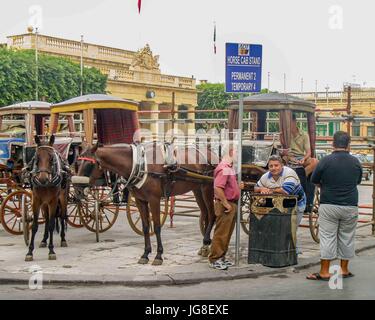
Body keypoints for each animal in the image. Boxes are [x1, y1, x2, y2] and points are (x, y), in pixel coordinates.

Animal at [74, 142, 219, 264]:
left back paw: (207, 240)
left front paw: (158, 255)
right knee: (205, 214)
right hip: (197, 189)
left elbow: (157, 227)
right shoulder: (140, 200)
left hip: (207, 188)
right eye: (77, 162)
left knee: (212, 214)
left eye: (89, 165)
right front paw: (145, 254)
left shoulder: (154, 200)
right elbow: (145, 227)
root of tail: (211, 152)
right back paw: (205, 246)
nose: (77, 190)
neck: (139, 164)